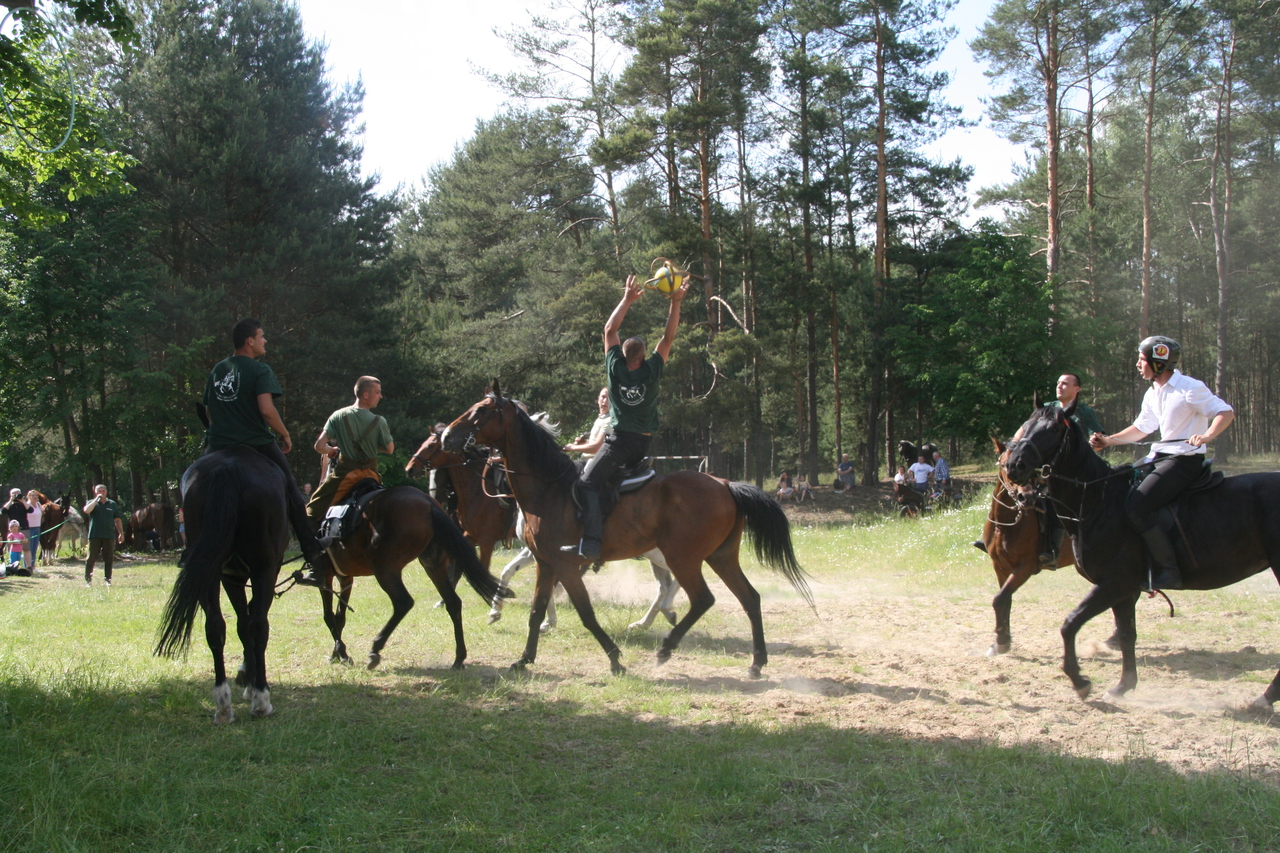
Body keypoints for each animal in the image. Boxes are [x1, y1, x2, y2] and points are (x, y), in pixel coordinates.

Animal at [154, 448, 288, 722]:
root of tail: (229, 468)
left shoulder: (230, 577)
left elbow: (241, 625)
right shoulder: (257, 574)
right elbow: (249, 622)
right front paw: (250, 682)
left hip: (210, 570)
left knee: (215, 627)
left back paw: (223, 704)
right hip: (263, 569)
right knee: (259, 626)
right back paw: (261, 699)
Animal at [311, 481, 509, 666]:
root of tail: (428, 504)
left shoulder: (326, 578)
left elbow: (329, 616)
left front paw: (341, 653)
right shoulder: (346, 578)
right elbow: (339, 617)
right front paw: (338, 654)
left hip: (385, 569)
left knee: (403, 602)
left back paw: (376, 648)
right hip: (433, 565)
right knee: (453, 602)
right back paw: (459, 658)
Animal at [437, 381, 808, 676]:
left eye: (481, 411)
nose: (446, 435)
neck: (548, 487)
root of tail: (726, 485)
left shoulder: (566, 565)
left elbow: (586, 614)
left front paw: (615, 659)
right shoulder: (545, 562)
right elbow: (535, 609)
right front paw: (525, 658)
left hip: (683, 558)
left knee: (700, 598)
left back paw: (665, 647)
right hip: (720, 557)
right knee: (749, 598)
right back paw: (756, 663)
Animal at [1003, 399, 1280, 701]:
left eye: (1052, 429)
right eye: (1027, 425)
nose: (1013, 464)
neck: (1098, 503)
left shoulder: (1115, 582)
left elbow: (1070, 624)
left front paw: (1079, 680)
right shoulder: (1125, 590)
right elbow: (1127, 634)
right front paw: (1124, 685)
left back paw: (1265, 698)